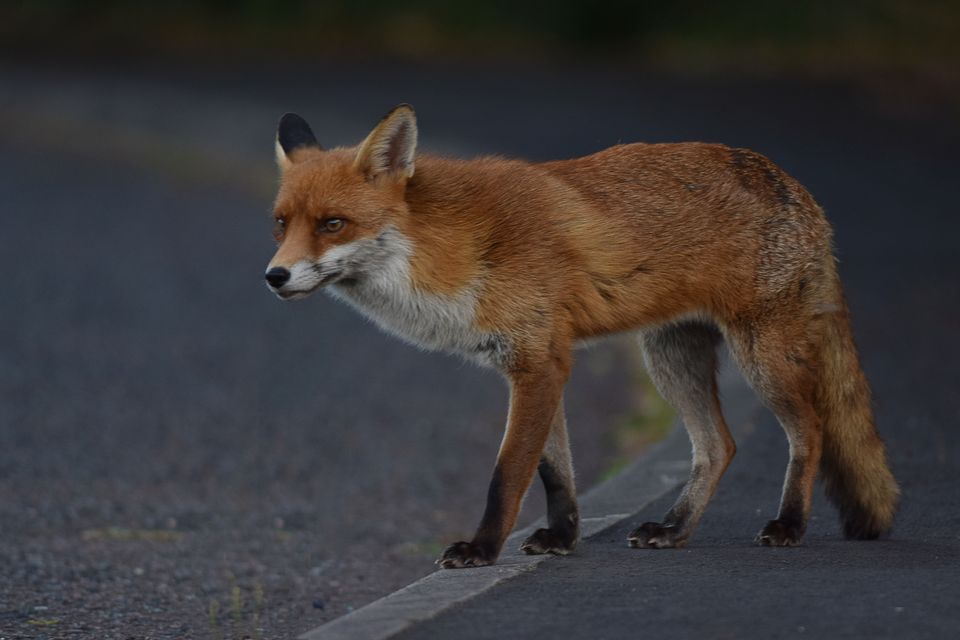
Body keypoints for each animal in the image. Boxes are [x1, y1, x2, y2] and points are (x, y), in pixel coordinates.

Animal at [264, 104, 899, 569]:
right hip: (670, 357)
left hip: (760, 356)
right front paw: (562, 539)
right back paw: (674, 529)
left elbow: (508, 475)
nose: (274, 276)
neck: (450, 250)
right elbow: (554, 472)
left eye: (333, 224)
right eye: (280, 224)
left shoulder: (539, 362)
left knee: (811, 430)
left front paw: (483, 549)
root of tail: (793, 185)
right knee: (720, 446)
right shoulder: (531, 363)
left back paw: (789, 524)